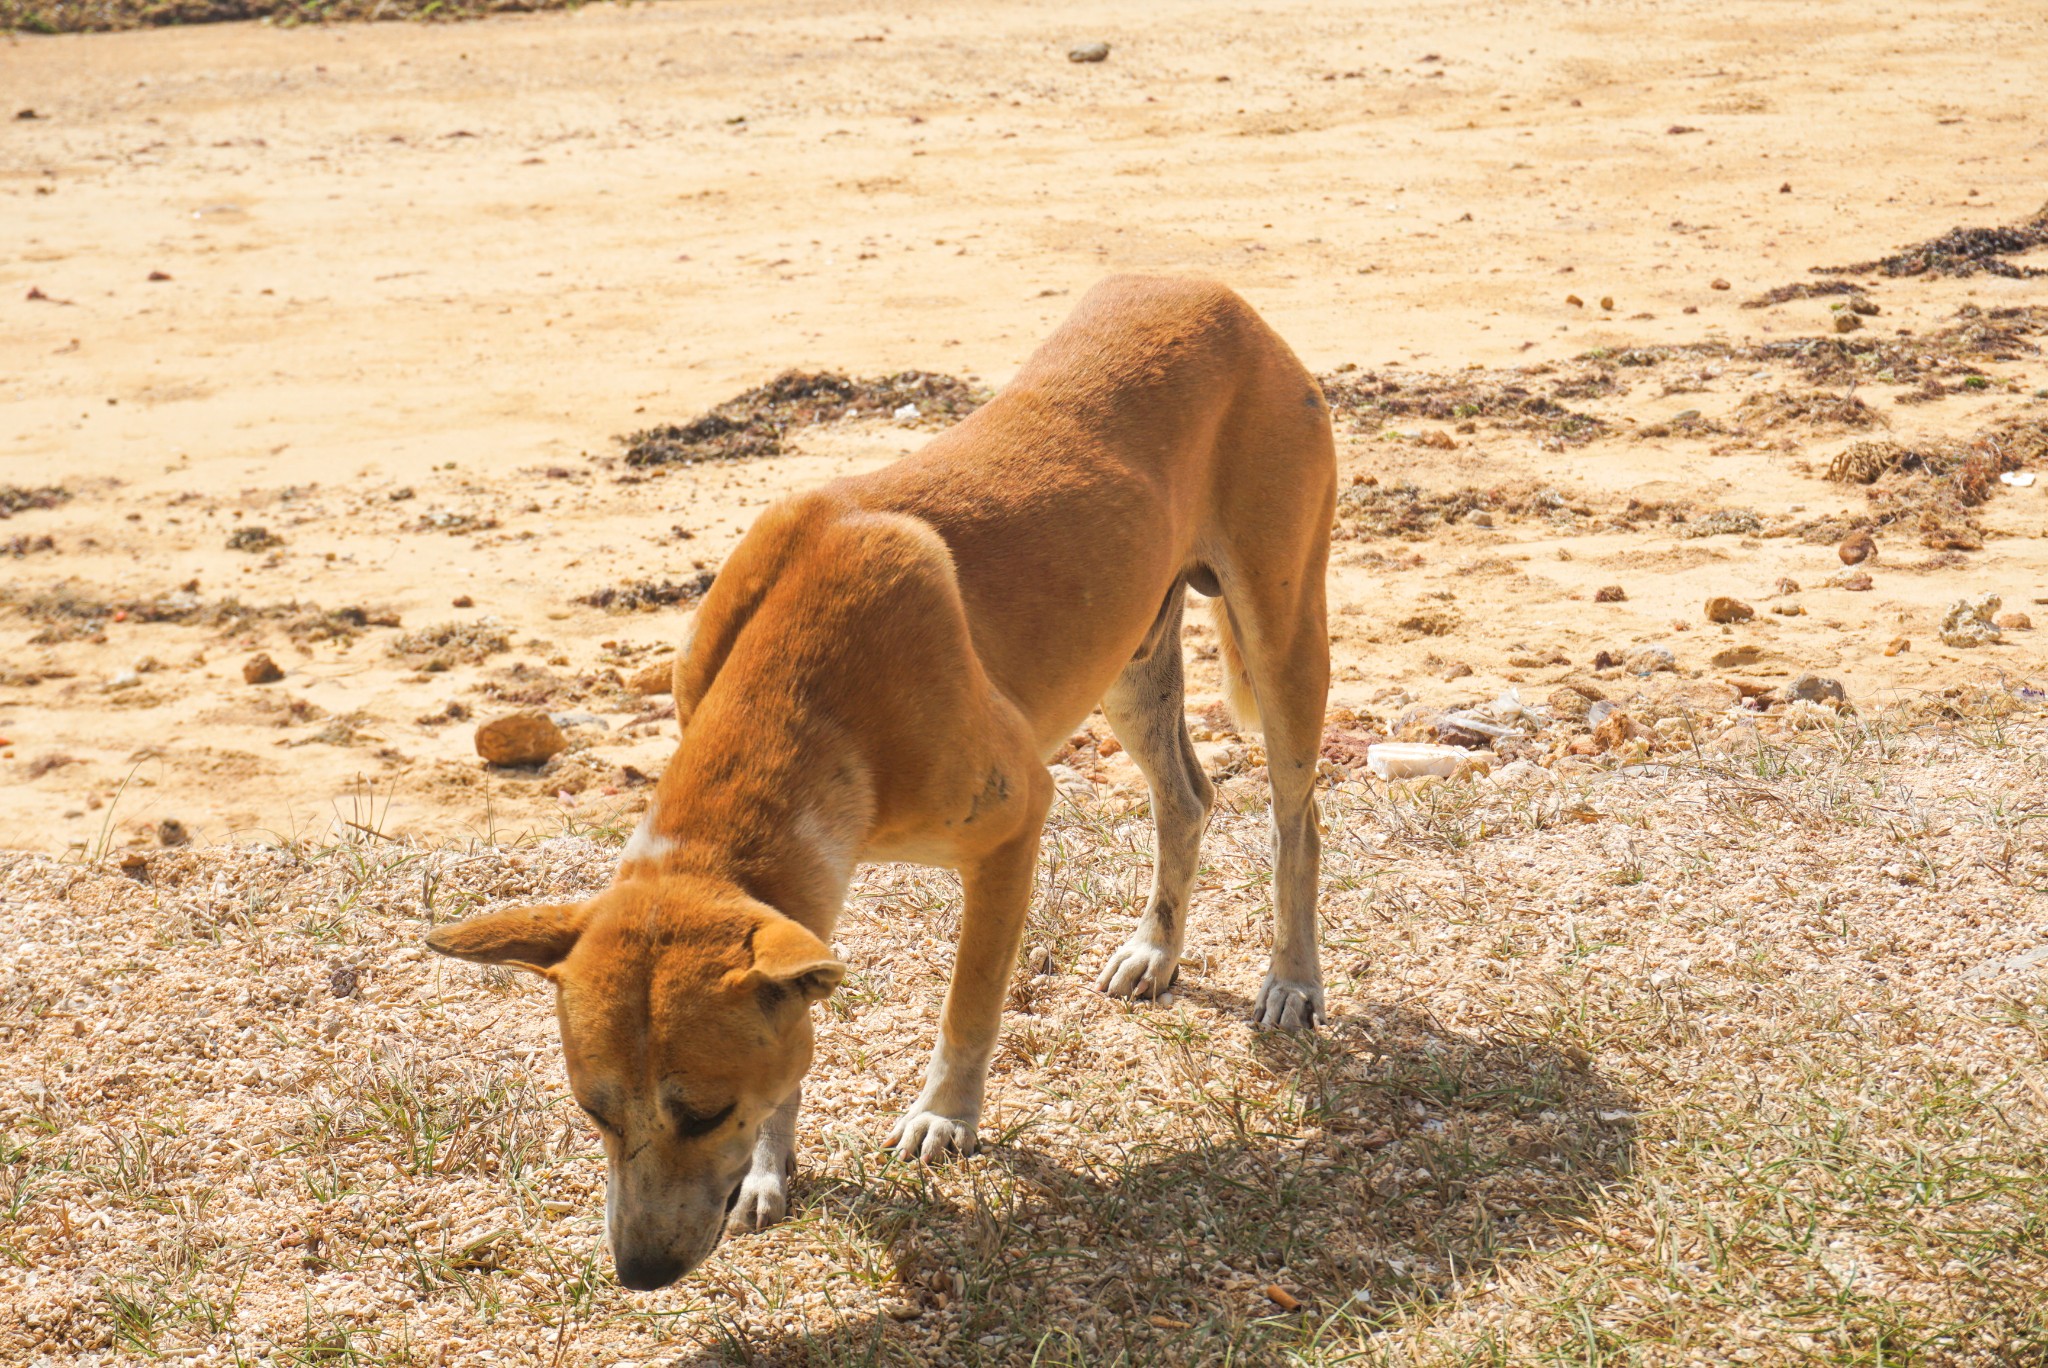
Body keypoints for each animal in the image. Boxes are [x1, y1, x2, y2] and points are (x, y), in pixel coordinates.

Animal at [423, 274, 1335, 1286]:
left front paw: (944, 1117)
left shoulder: (1014, 822)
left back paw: (1292, 979)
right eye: (592, 1108)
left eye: (703, 1111)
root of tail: (1210, 290)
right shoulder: (805, 895)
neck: (798, 691)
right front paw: (772, 1167)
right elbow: (799, 1034)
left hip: (1283, 635)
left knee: (1297, 820)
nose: (639, 1273)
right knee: (1187, 798)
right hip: (1131, 665)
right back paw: (1156, 951)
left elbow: (970, 1000)